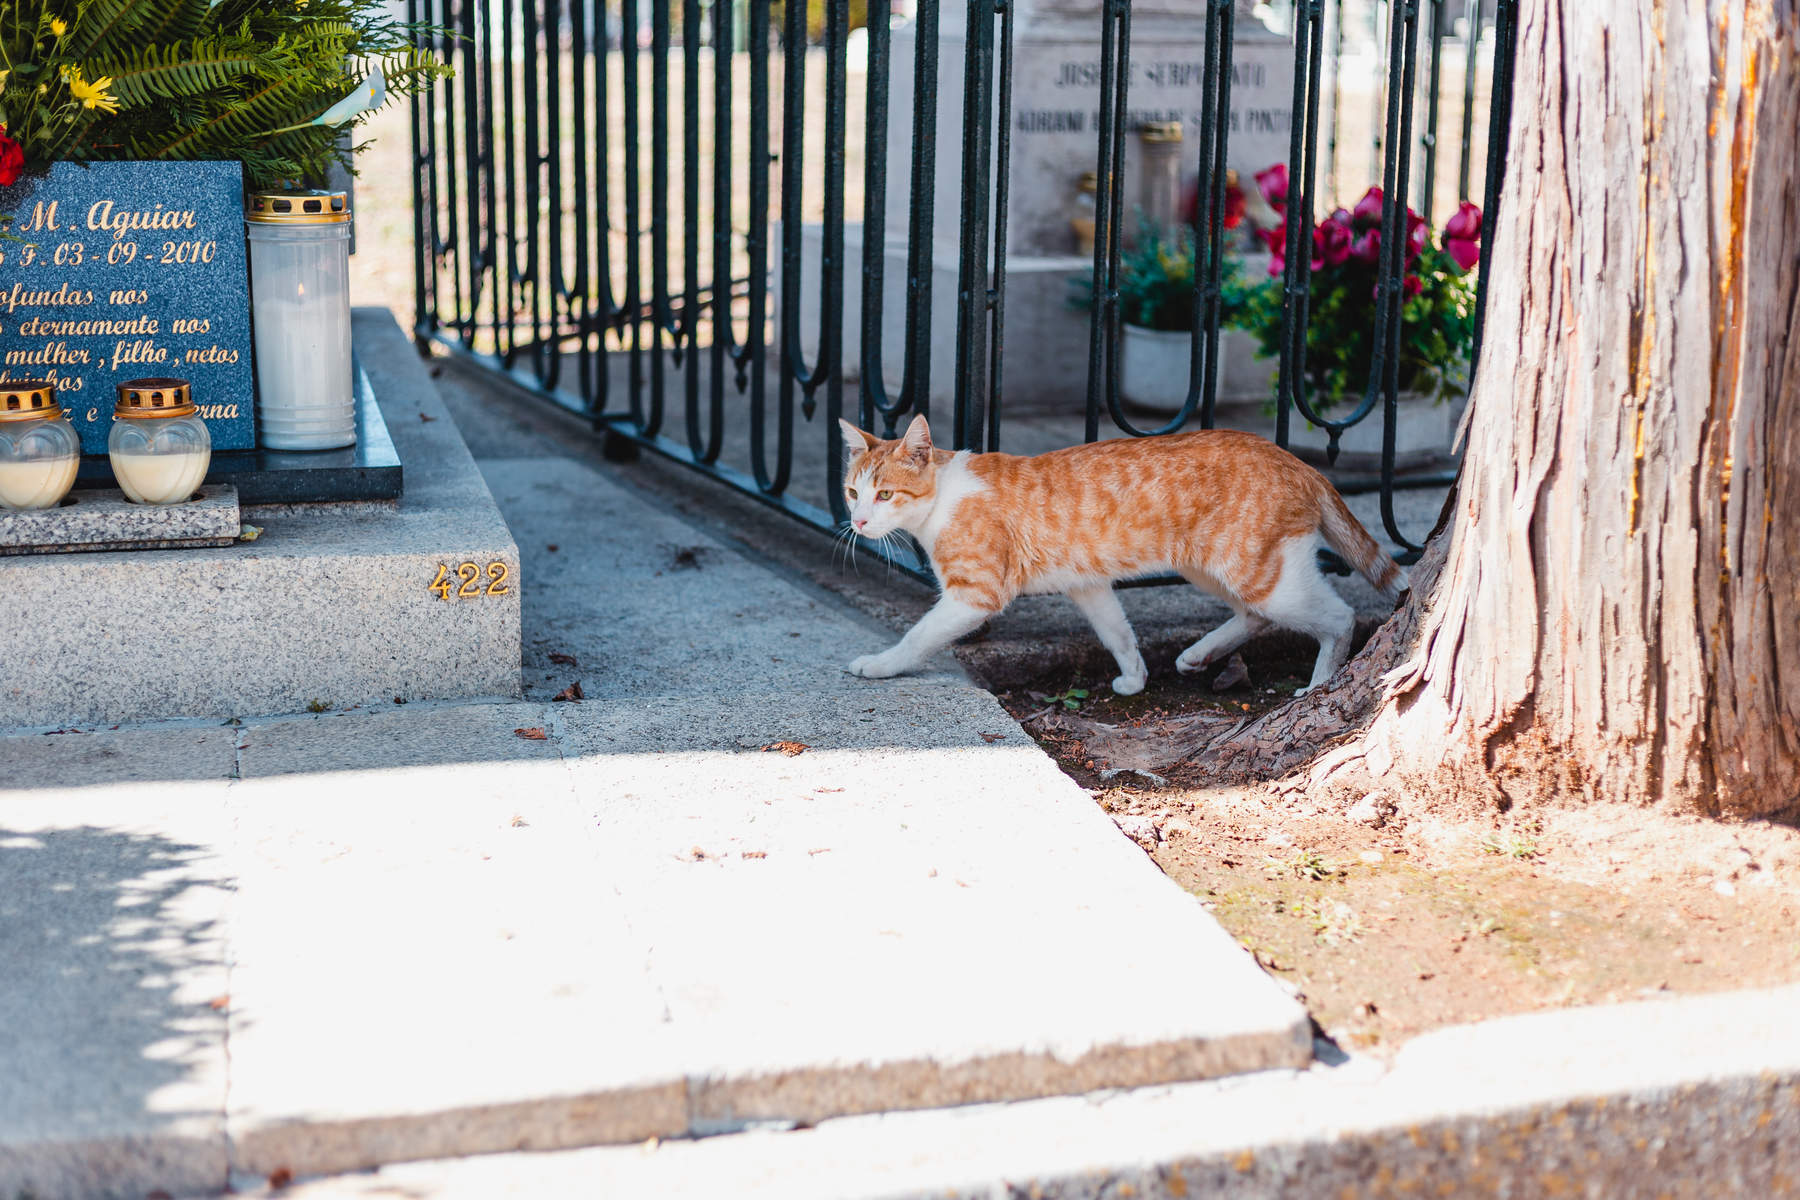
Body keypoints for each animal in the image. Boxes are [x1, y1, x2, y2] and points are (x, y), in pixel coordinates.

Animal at [838, 413, 1404, 694]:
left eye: (884, 494)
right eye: (852, 492)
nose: (858, 522)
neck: (942, 501)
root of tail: (1296, 461)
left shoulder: (975, 595)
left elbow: (917, 636)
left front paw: (880, 665)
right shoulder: (1087, 584)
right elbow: (1118, 634)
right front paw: (1135, 679)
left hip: (1262, 573)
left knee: (1337, 617)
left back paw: (1322, 684)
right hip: (1212, 568)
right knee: (1255, 616)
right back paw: (1199, 655)